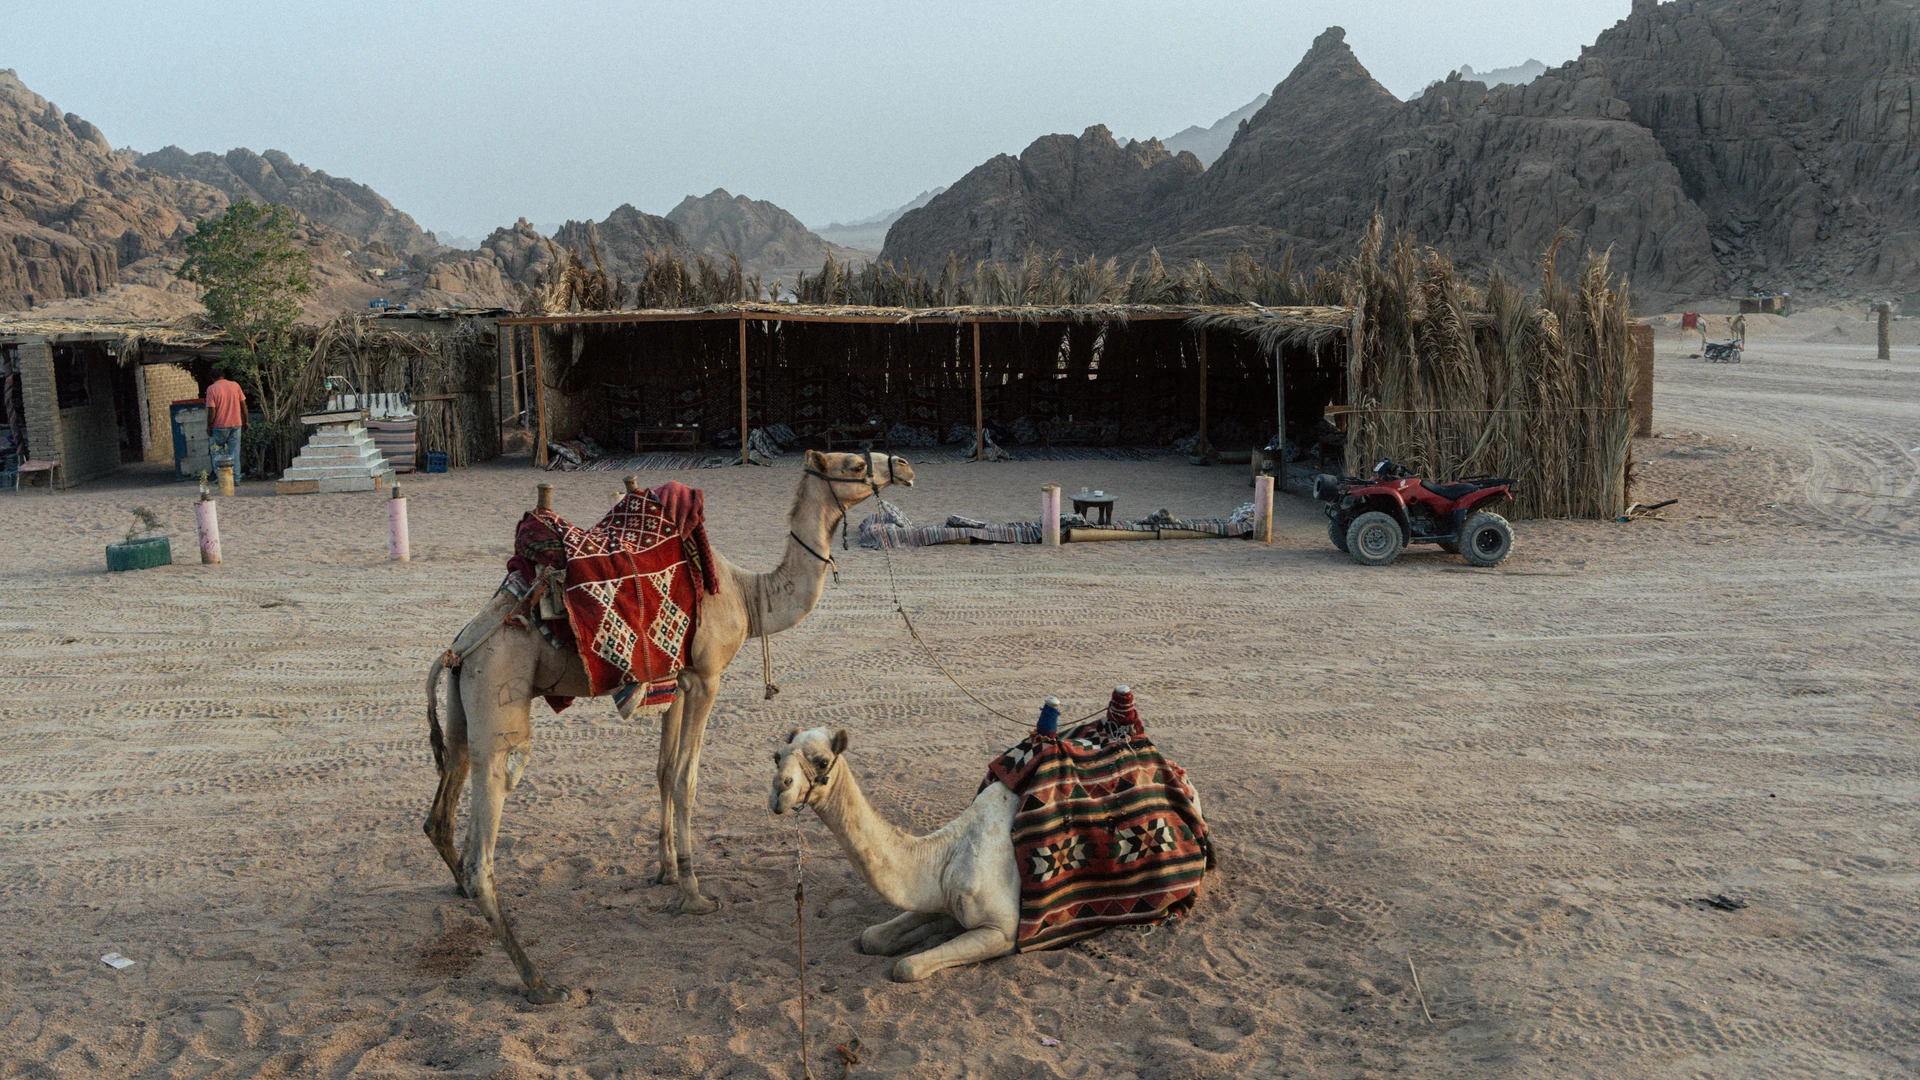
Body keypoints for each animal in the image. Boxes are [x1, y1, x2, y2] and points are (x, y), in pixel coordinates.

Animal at [424, 450, 912, 1003]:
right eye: (853, 464)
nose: (902, 466)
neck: (748, 595)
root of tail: (460, 648)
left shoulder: (675, 680)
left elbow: (662, 771)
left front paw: (664, 871)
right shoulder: (706, 677)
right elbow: (686, 779)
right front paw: (694, 893)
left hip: (464, 708)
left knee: (442, 808)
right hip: (499, 702)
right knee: (483, 847)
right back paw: (539, 982)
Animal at [770, 726, 1022, 982]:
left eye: (822, 762)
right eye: (777, 757)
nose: (780, 787)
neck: (946, 856)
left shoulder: (1003, 931)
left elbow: (907, 967)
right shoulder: (938, 898)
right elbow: (872, 938)